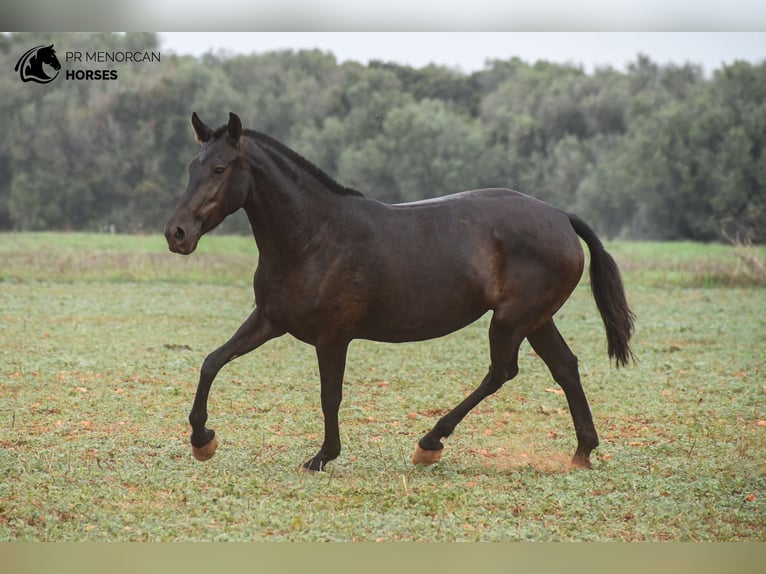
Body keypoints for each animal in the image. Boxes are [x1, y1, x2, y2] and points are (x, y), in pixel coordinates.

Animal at [164, 112, 636, 472]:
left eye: (220, 169)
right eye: (189, 167)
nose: (177, 233)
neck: (315, 237)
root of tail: (561, 217)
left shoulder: (332, 337)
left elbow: (330, 395)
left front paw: (323, 456)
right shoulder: (269, 320)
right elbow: (212, 362)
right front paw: (202, 439)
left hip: (511, 321)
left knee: (502, 373)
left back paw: (430, 442)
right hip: (536, 320)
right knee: (565, 368)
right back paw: (582, 451)